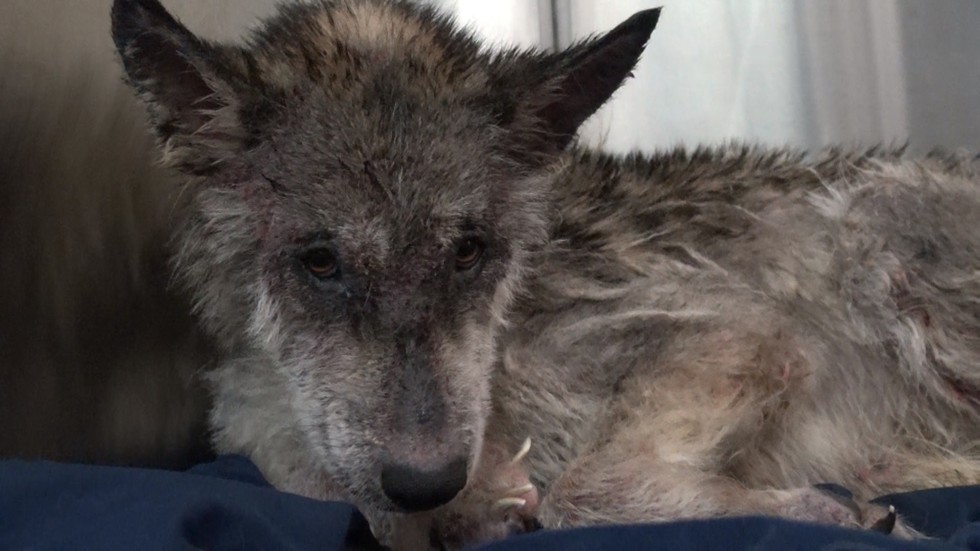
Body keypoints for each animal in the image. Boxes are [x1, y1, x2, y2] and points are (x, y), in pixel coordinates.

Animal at [108, 0, 980, 548]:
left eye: (469, 249)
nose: (427, 480)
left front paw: (830, 514)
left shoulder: (744, 335)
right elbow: (310, 480)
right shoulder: (264, 420)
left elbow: (586, 488)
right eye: (319, 260)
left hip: (882, 227)